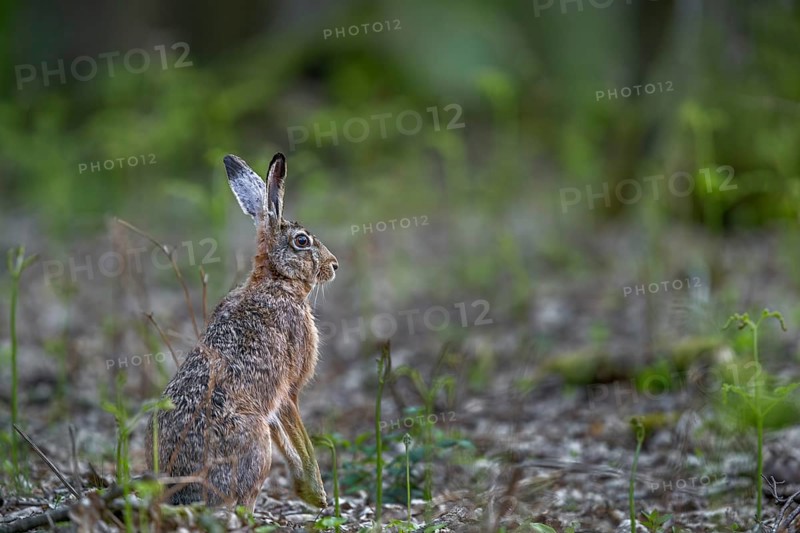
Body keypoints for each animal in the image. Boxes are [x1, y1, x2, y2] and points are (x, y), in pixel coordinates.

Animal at [145, 152, 338, 511]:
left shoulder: (277, 406)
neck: (276, 280)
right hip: (257, 445)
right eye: (302, 241)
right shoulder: (289, 391)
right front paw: (318, 495)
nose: (333, 265)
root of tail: (181, 493)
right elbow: (301, 441)